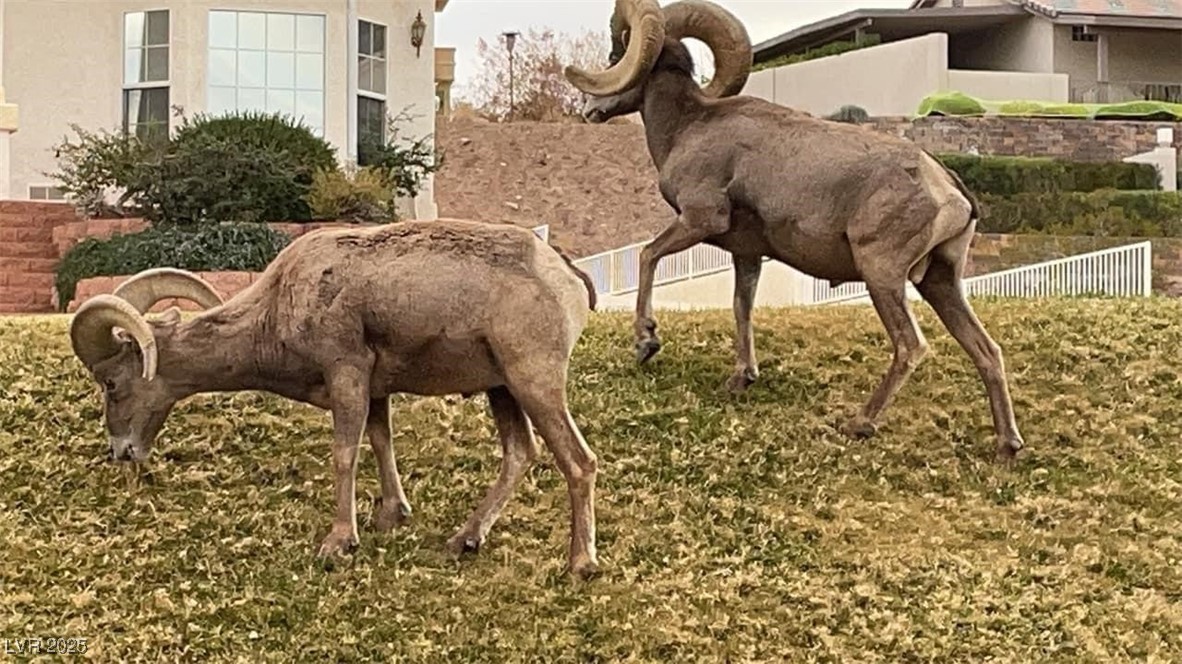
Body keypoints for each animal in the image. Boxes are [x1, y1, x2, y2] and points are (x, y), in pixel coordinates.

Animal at [67, 219, 602, 577]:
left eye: (111, 383)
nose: (122, 452)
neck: (277, 307)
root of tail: (567, 277)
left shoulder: (347, 375)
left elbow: (345, 454)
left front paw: (339, 543)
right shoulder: (375, 391)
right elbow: (381, 443)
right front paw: (391, 517)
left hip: (534, 383)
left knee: (579, 462)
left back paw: (580, 564)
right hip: (502, 390)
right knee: (520, 454)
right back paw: (463, 541)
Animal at [562, 0, 1026, 461]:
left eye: (615, 55)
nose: (589, 110)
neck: (687, 127)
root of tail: (948, 188)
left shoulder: (699, 219)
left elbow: (648, 255)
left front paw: (646, 343)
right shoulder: (747, 254)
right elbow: (741, 307)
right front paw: (742, 378)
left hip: (883, 275)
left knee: (911, 346)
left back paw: (861, 423)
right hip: (941, 282)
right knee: (987, 351)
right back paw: (1007, 445)